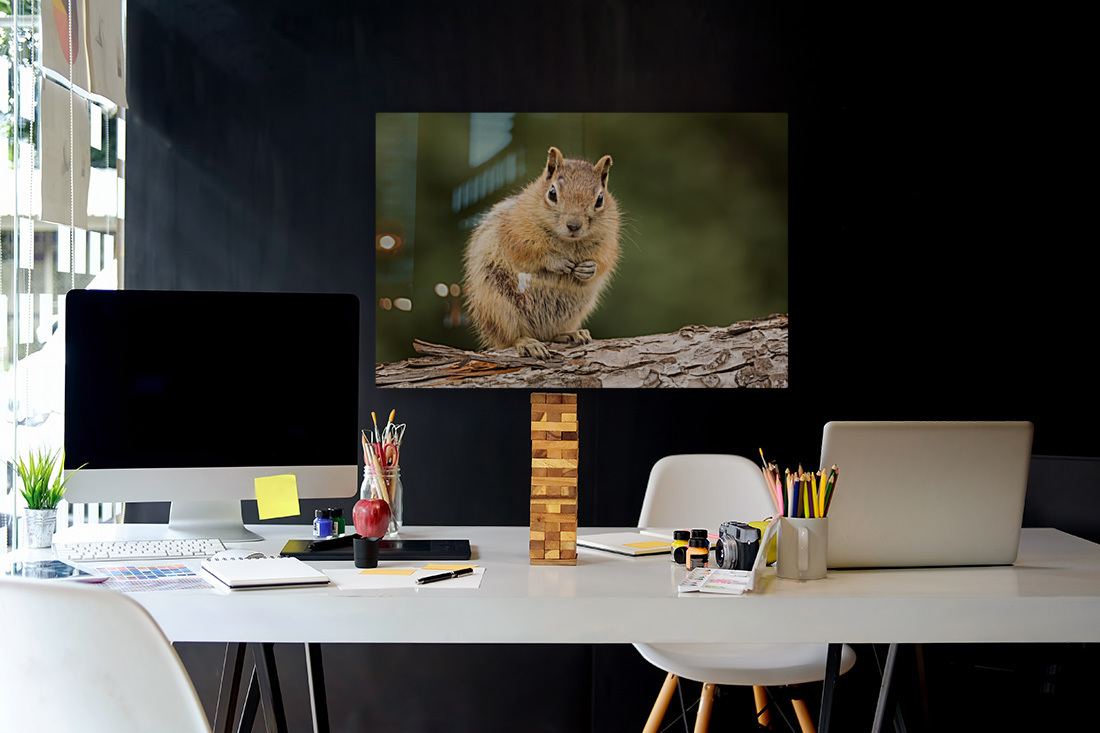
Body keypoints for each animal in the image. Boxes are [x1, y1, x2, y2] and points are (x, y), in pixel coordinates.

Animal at [462, 146, 621, 359]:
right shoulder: (515, 230)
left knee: (552, 334)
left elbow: (605, 261)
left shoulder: (608, 240)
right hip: (498, 306)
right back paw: (529, 343)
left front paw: (589, 268)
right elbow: (527, 250)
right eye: (552, 193)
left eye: (600, 199)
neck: (568, 242)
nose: (574, 225)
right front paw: (556, 261)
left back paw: (570, 333)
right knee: (511, 337)